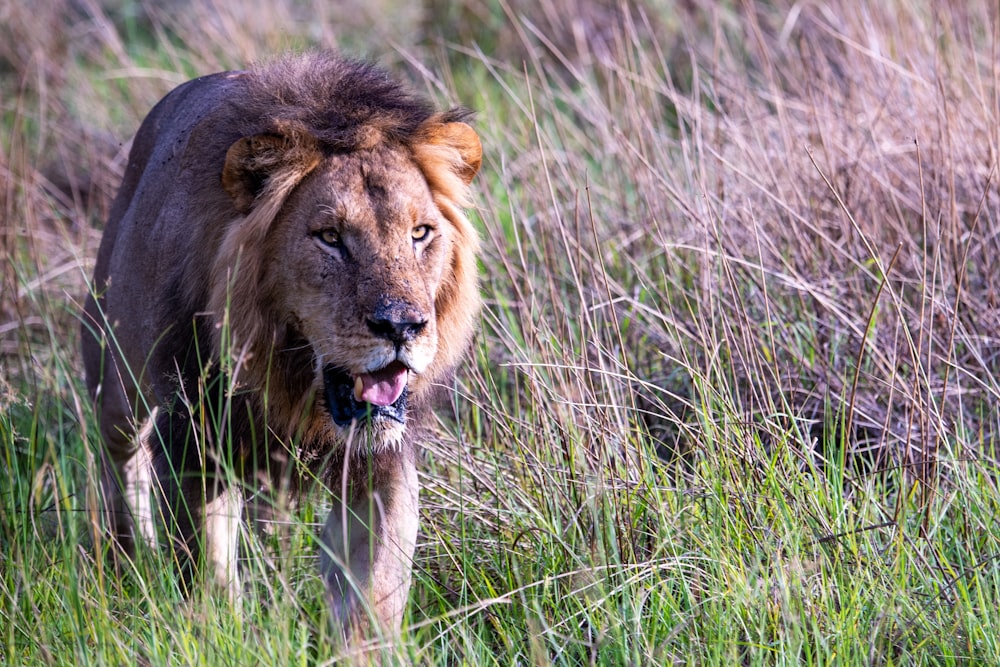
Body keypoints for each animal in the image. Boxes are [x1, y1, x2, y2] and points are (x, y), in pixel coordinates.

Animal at [82, 52, 480, 636]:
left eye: (420, 233)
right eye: (331, 238)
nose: (402, 326)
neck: (292, 379)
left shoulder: (382, 463)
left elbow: (375, 591)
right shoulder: (195, 440)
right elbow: (206, 569)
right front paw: (220, 632)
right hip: (113, 374)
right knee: (120, 461)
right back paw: (128, 557)